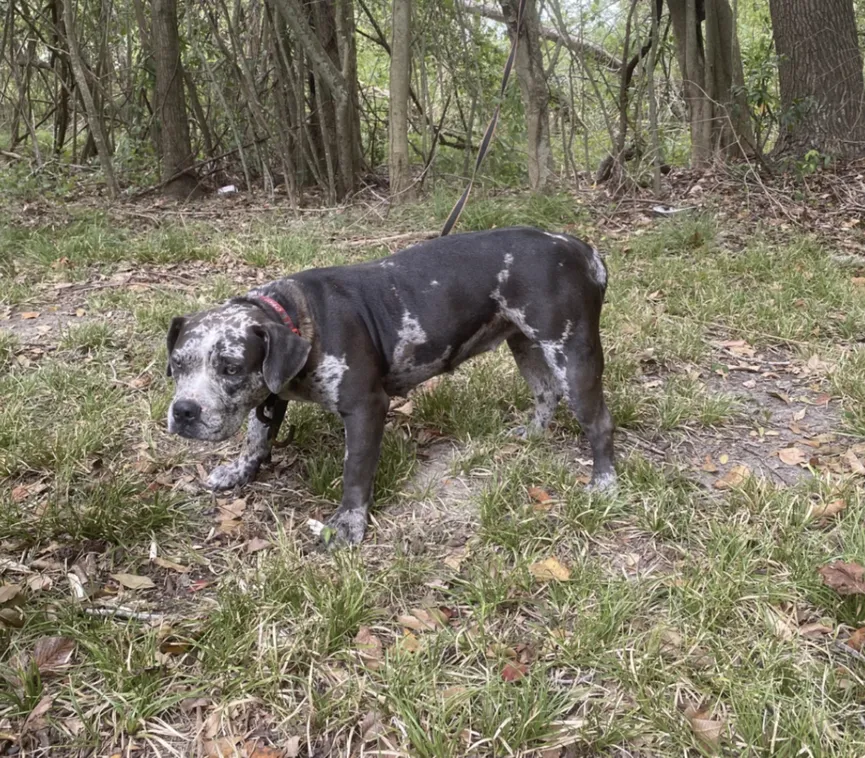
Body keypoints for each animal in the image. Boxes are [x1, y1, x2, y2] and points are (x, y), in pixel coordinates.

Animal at [164, 227, 616, 548]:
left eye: (231, 368)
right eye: (177, 364)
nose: (184, 411)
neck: (296, 319)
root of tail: (581, 248)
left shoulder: (365, 409)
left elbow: (355, 472)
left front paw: (348, 523)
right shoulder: (271, 398)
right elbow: (257, 437)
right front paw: (240, 471)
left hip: (572, 356)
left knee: (599, 422)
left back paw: (604, 481)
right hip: (525, 344)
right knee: (545, 393)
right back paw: (534, 434)